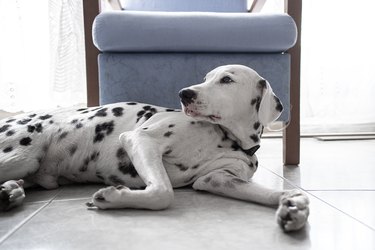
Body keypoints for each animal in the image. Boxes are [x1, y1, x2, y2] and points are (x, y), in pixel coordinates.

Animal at [0, 65, 310, 232]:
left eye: (227, 80)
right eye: (206, 77)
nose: (184, 93)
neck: (227, 137)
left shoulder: (218, 179)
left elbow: (277, 193)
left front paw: (294, 208)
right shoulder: (141, 140)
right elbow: (163, 193)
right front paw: (113, 198)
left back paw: (11, 192)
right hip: (23, 156)